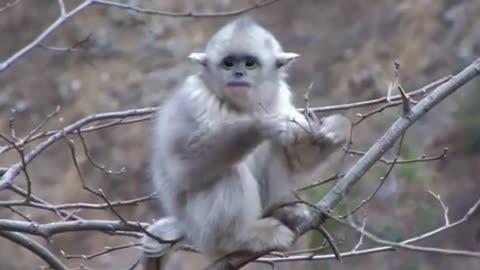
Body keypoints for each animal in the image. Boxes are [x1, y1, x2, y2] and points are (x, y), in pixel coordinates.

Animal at [141, 17, 350, 270]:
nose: (238, 73)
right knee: (228, 173)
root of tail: (187, 228)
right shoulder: (193, 100)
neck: (241, 107)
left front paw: (337, 129)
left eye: (250, 64)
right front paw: (258, 126)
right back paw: (239, 238)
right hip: (204, 230)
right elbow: (182, 168)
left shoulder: (280, 99)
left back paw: (283, 214)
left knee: (275, 149)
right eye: (228, 63)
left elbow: (297, 156)